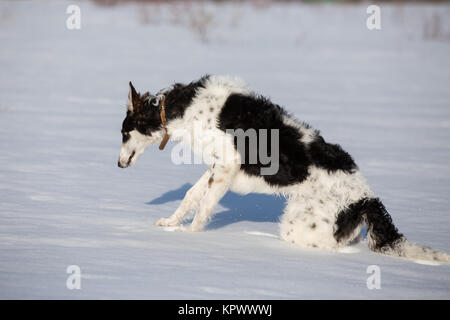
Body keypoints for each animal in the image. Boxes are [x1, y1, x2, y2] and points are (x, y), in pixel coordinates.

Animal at [118, 75, 448, 262]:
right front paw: (170, 224)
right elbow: (190, 197)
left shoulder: (226, 165)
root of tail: (365, 197)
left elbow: (202, 210)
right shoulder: (216, 169)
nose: (118, 164)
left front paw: (189, 238)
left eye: (123, 133)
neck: (180, 108)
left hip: (299, 225)